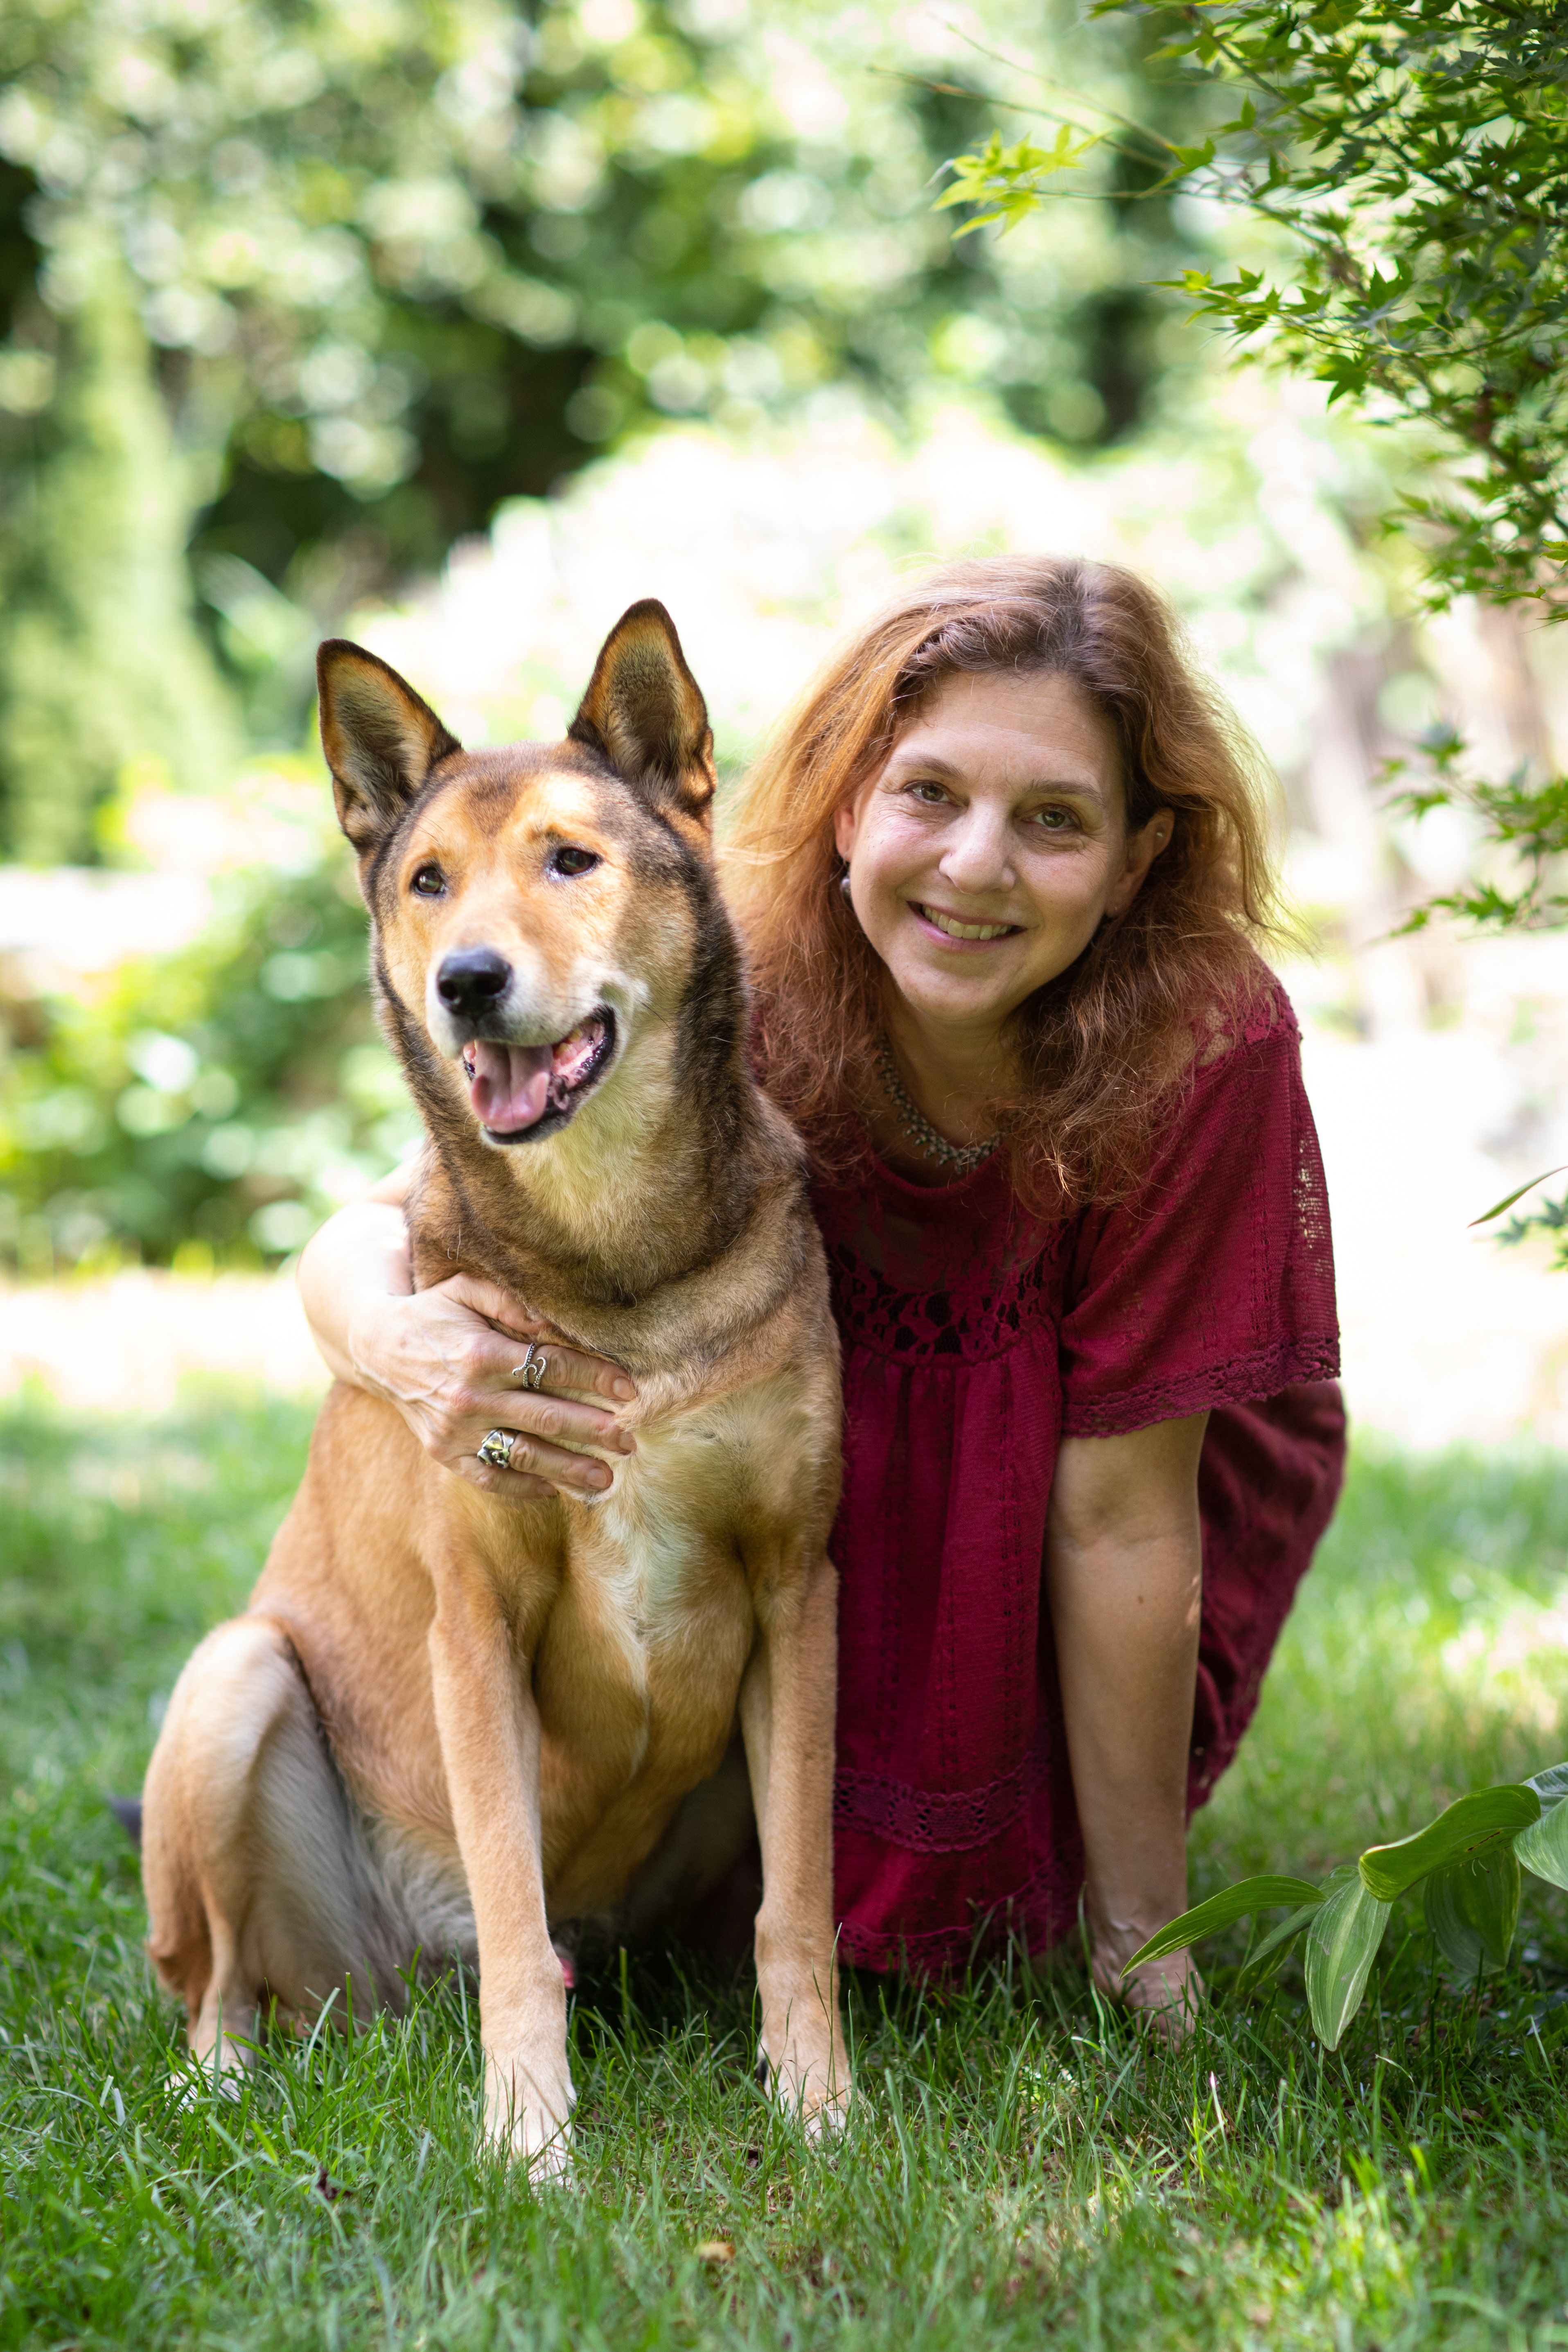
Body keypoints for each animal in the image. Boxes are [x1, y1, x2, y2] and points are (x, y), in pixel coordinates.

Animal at [141, 597, 851, 2173]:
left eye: (569, 859)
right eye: (427, 881)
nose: (465, 979)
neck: (613, 1259)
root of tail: (392, 1990)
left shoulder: (794, 1588)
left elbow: (799, 1907)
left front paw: (822, 2104)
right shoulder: (479, 1618)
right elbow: (521, 1934)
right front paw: (530, 2143)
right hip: (232, 1677)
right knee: (217, 1985)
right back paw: (221, 2094)